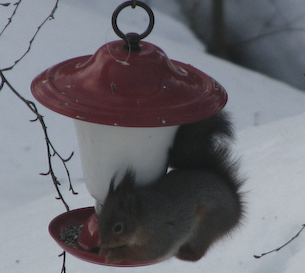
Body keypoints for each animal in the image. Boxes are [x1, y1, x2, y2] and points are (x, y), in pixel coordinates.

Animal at [97, 111, 245, 264]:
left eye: (118, 228)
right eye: (100, 218)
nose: (104, 243)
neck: (143, 218)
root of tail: (237, 205)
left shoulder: (160, 234)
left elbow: (145, 253)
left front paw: (116, 254)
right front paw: (104, 250)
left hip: (209, 223)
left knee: (199, 250)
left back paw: (186, 255)